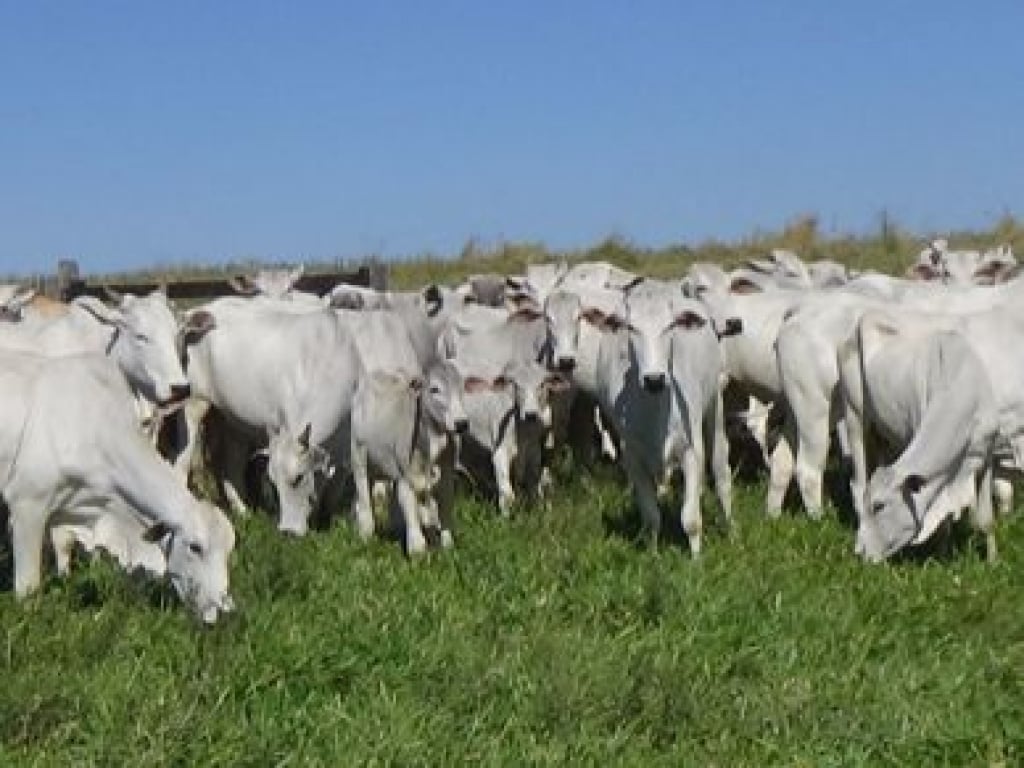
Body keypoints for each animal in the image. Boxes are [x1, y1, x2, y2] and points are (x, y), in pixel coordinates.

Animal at [0, 354, 234, 626]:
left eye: (229, 550)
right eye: (195, 547)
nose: (222, 611)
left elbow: (64, 545)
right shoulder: (27, 503)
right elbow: (28, 587)